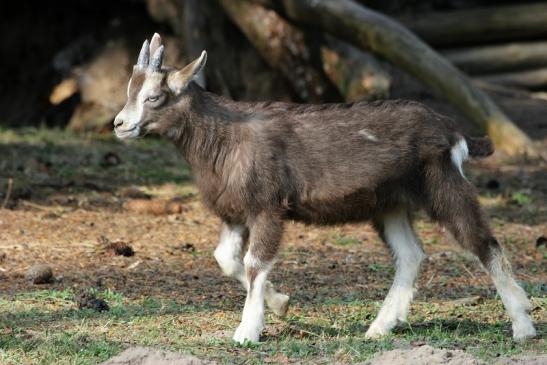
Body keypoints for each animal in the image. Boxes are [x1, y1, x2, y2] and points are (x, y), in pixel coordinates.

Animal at [113, 33, 536, 342]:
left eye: (154, 96)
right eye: (129, 91)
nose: (119, 125)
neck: (224, 139)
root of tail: (453, 132)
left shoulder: (267, 207)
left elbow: (254, 263)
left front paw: (247, 332)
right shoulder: (234, 212)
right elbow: (226, 259)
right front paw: (281, 303)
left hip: (442, 183)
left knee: (483, 242)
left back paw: (523, 325)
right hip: (391, 204)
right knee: (411, 255)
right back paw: (380, 327)